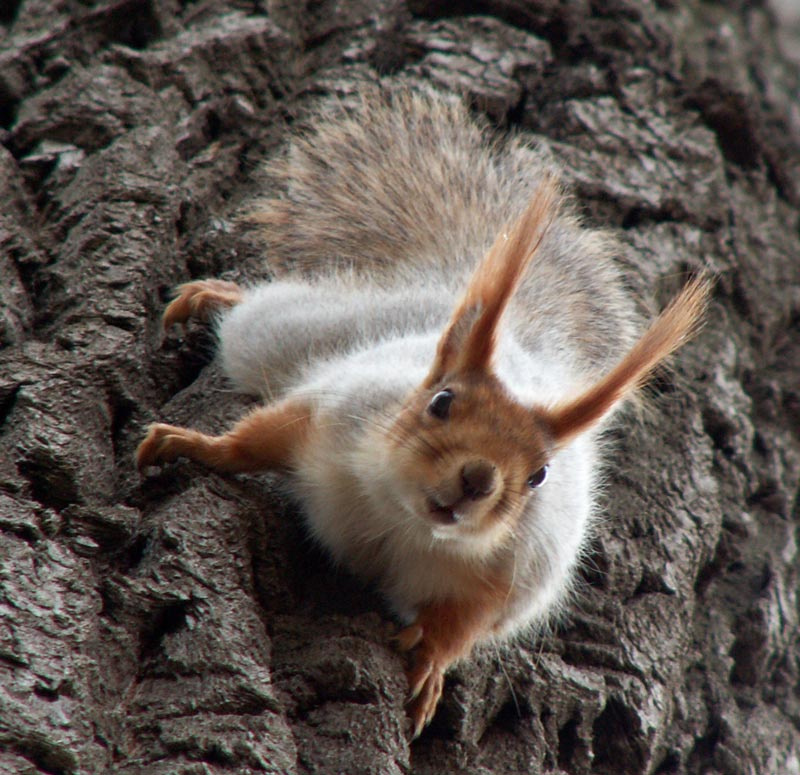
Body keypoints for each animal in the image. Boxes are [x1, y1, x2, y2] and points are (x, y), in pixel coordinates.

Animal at [136, 87, 710, 737]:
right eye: (441, 401)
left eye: (541, 474)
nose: (478, 478)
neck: (403, 518)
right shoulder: (334, 409)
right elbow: (256, 438)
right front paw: (194, 445)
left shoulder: (511, 576)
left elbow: (462, 626)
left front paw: (431, 663)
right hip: (299, 332)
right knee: (260, 317)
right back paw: (215, 295)